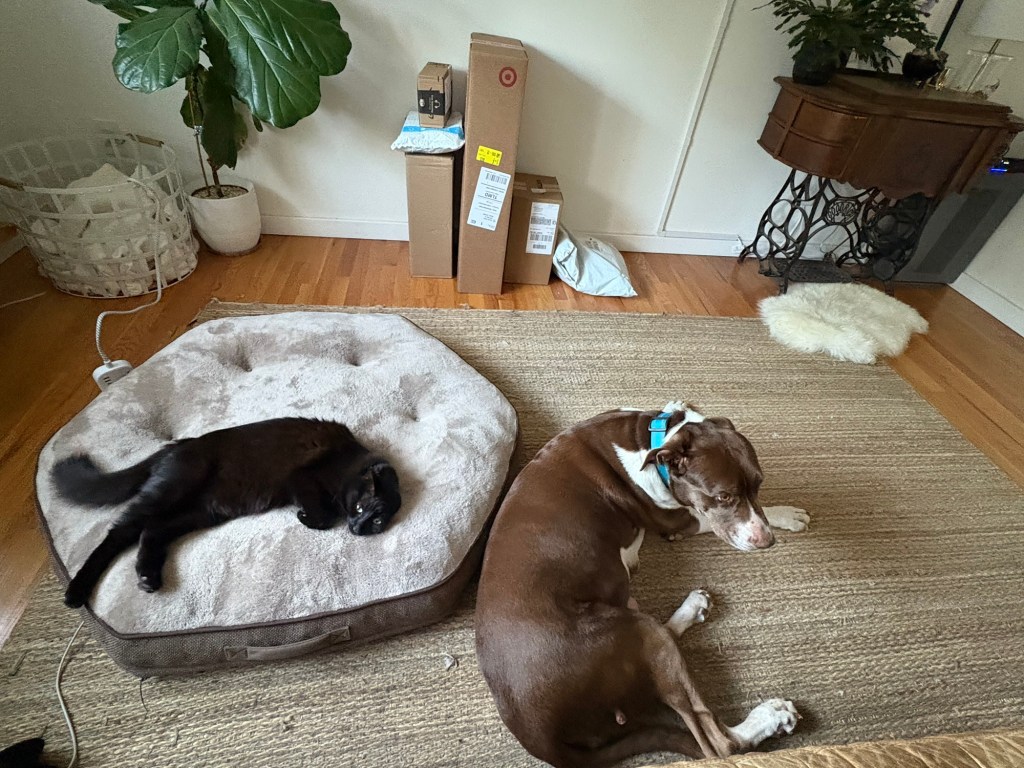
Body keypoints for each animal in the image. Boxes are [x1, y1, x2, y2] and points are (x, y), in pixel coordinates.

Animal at [52, 417, 401, 608]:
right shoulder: (300, 478)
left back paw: (148, 577)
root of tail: (176, 446)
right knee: (120, 531)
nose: (358, 527)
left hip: (200, 511)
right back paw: (76, 591)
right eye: (360, 508)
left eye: (377, 521)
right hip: (174, 489)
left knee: (152, 531)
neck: (351, 461)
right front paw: (306, 517)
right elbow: (323, 516)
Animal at [475, 401, 810, 767]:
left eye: (759, 484)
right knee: (717, 744)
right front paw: (784, 514)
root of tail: (539, 737)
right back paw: (768, 717)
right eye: (723, 496)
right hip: (634, 631)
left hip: (636, 630)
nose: (765, 542)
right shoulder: (678, 520)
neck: (655, 438)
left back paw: (691, 610)